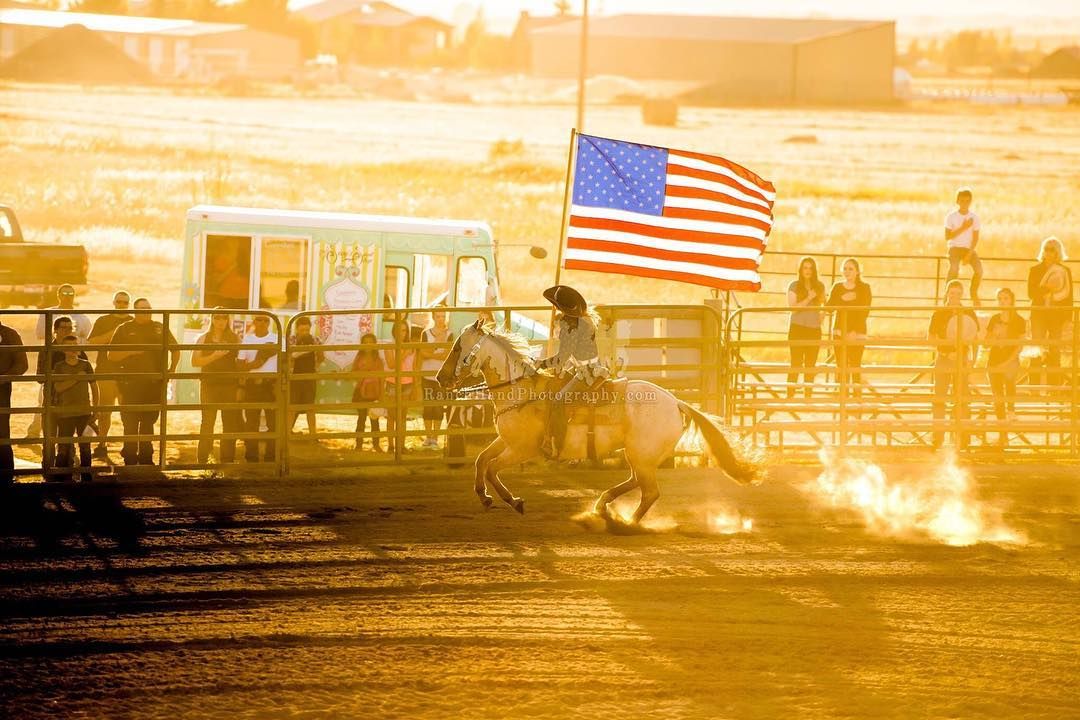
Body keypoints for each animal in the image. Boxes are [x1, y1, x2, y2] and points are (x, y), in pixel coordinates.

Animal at [434, 321, 764, 524]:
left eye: (457, 347)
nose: (440, 378)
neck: (521, 390)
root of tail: (676, 402)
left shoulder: (523, 449)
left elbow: (491, 468)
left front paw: (513, 501)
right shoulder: (507, 440)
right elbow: (481, 460)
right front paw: (484, 497)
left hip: (642, 454)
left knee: (650, 491)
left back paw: (627, 523)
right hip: (638, 455)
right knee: (637, 482)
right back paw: (602, 505)